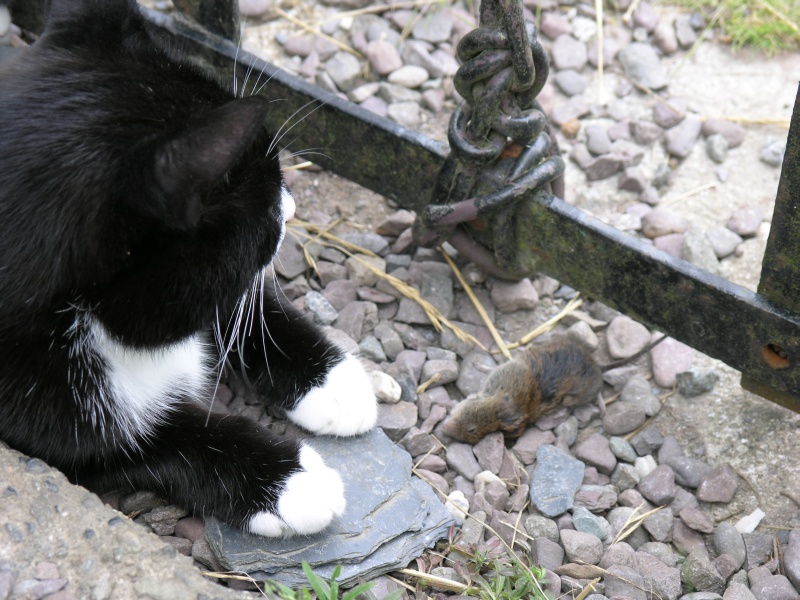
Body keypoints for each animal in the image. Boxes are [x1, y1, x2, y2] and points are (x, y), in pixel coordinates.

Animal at [0, 0, 378, 540]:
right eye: (266, 195)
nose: (291, 207)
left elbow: (237, 305)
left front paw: (333, 382)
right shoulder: (47, 413)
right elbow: (157, 441)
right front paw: (288, 481)